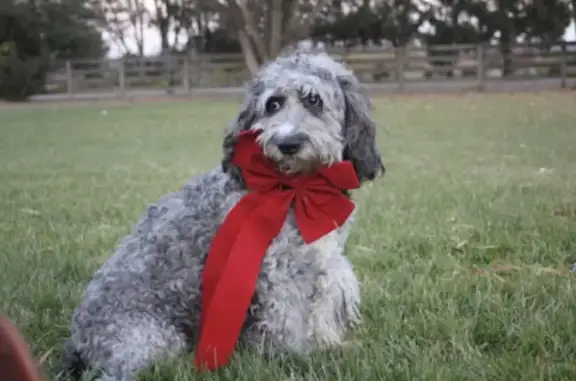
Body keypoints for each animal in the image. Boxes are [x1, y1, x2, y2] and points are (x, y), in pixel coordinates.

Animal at [58, 49, 384, 378]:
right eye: (273, 104)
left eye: (314, 100)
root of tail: (79, 343)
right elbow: (288, 321)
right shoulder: (279, 272)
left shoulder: (322, 264)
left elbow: (321, 312)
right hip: (152, 341)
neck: (295, 188)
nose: (287, 143)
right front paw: (297, 358)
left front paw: (327, 345)